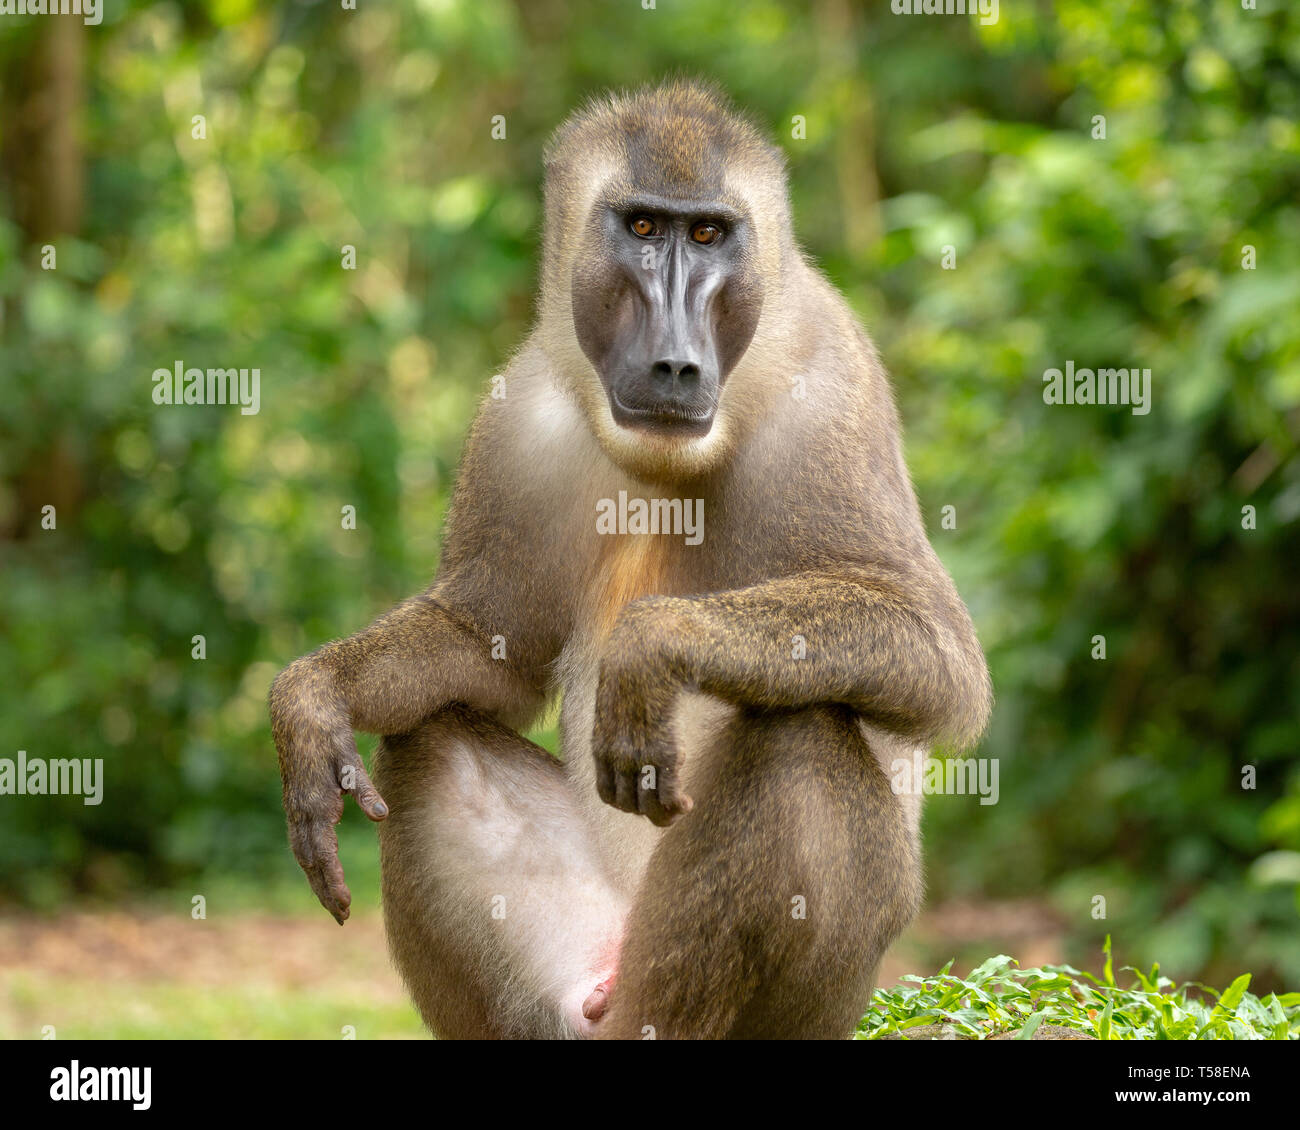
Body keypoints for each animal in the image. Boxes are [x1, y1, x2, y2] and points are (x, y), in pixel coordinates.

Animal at [269, 80, 991, 1040]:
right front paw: (311, 698)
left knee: (801, 736)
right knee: (430, 734)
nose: (676, 361)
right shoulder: (519, 420)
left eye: (709, 235)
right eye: (644, 228)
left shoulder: (833, 390)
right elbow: (484, 650)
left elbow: (938, 653)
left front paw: (654, 645)